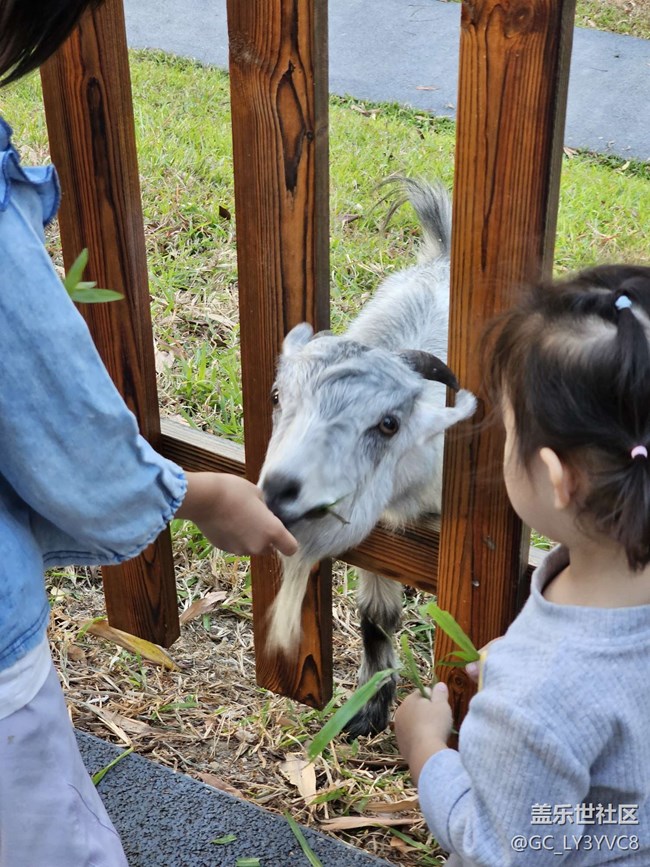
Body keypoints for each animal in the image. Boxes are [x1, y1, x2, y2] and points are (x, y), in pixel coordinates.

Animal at [258, 179, 476, 736]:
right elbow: (378, 616)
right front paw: (369, 709)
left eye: (388, 423)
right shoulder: (379, 537)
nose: (281, 489)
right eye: (277, 395)